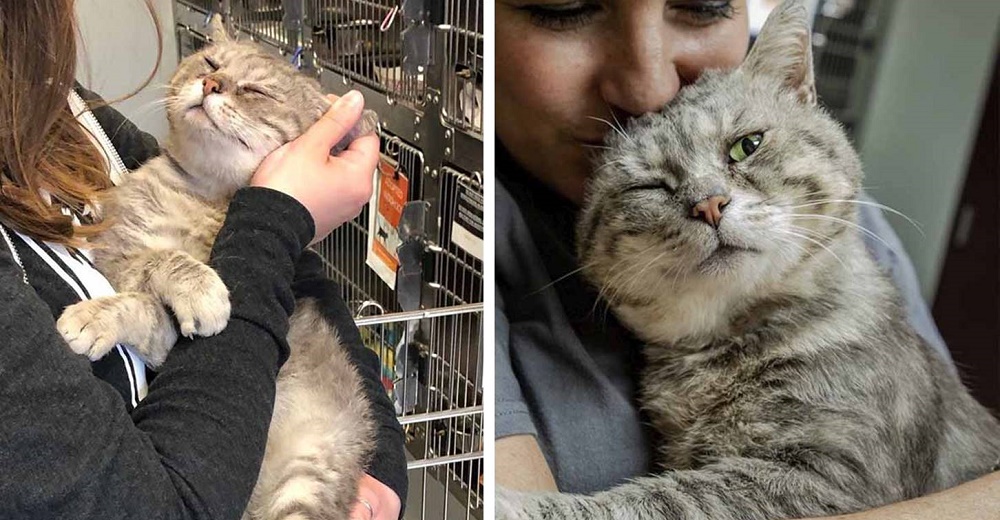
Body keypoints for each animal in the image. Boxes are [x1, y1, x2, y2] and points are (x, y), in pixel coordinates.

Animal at [56, 16, 380, 520]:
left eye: (255, 90)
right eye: (211, 63)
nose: (211, 84)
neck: (199, 195)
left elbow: (154, 285)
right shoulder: (116, 254)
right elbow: (154, 274)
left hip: (308, 481)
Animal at [496, 1, 996, 520]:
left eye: (747, 145)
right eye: (652, 186)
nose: (709, 204)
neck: (726, 347)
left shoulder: (831, 474)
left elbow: (662, 498)